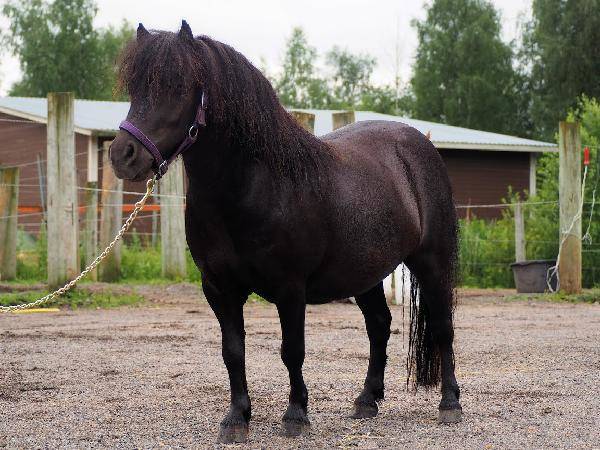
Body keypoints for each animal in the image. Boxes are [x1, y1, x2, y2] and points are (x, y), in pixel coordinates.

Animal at [109, 21, 462, 444]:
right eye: (135, 87)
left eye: (179, 86)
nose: (123, 155)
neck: (252, 187)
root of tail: (420, 144)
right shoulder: (219, 289)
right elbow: (233, 351)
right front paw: (236, 419)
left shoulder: (290, 288)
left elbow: (292, 350)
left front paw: (295, 415)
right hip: (365, 274)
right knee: (379, 326)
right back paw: (366, 401)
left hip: (432, 261)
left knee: (442, 327)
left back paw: (450, 404)